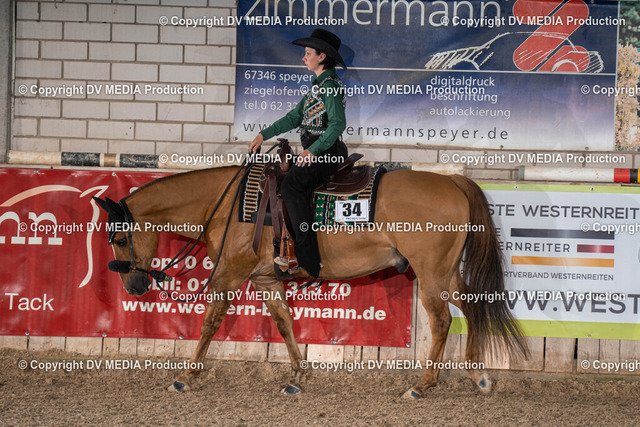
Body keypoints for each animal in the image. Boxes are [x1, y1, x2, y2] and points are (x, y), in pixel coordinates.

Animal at [93, 163, 528, 398]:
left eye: (119, 238)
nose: (133, 287)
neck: (228, 204)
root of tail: (453, 181)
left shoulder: (229, 275)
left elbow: (211, 322)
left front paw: (185, 377)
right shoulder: (266, 280)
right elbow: (284, 322)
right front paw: (297, 377)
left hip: (431, 272)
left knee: (442, 320)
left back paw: (422, 385)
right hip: (447, 272)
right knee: (472, 306)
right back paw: (479, 374)